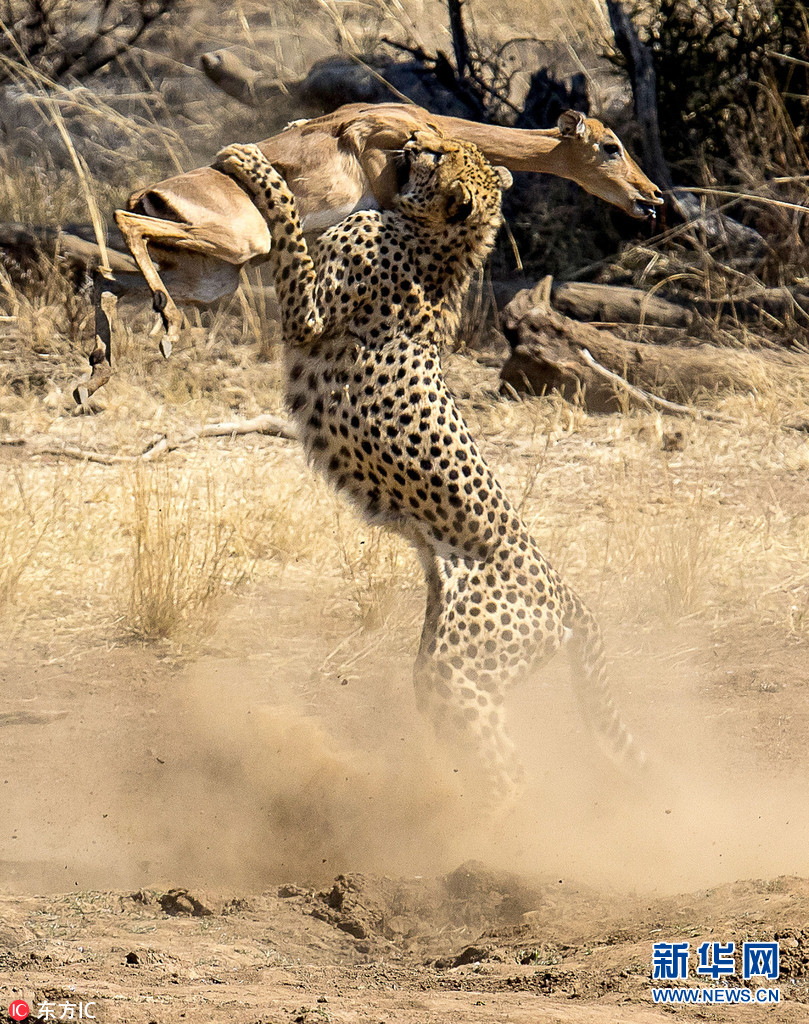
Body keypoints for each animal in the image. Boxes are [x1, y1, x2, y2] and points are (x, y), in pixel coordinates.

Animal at [218, 134, 651, 798]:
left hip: (457, 667)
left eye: (441, 155)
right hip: (441, 658)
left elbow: (288, 224)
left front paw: (255, 166)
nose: (414, 140)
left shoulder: (308, 312)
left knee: (511, 775)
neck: (433, 239)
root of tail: (568, 594)